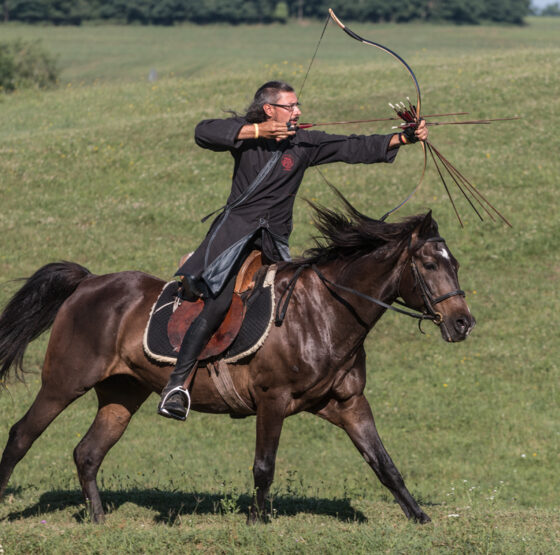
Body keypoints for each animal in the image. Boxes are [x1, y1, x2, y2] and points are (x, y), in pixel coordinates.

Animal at [0, 199, 474, 524]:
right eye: (430, 264)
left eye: (454, 263)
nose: (463, 323)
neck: (323, 313)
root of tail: (89, 282)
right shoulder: (272, 399)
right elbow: (264, 466)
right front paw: (258, 521)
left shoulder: (349, 403)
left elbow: (384, 463)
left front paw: (419, 517)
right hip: (63, 383)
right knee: (22, 434)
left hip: (122, 394)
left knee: (88, 452)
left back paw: (99, 519)